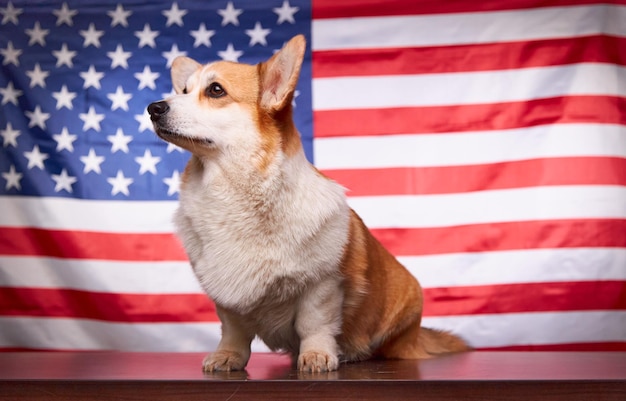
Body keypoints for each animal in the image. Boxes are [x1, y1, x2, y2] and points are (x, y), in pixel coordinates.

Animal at [147, 34, 468, 372]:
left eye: (215, 90)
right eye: (183, 90)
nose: (153, 108)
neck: (234, 192)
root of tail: (418, 335)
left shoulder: (322, 284)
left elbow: (314, 324)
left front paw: (316, 355)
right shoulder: (225, 294)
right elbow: (233, 329)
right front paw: (227, 356)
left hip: (405, 308)